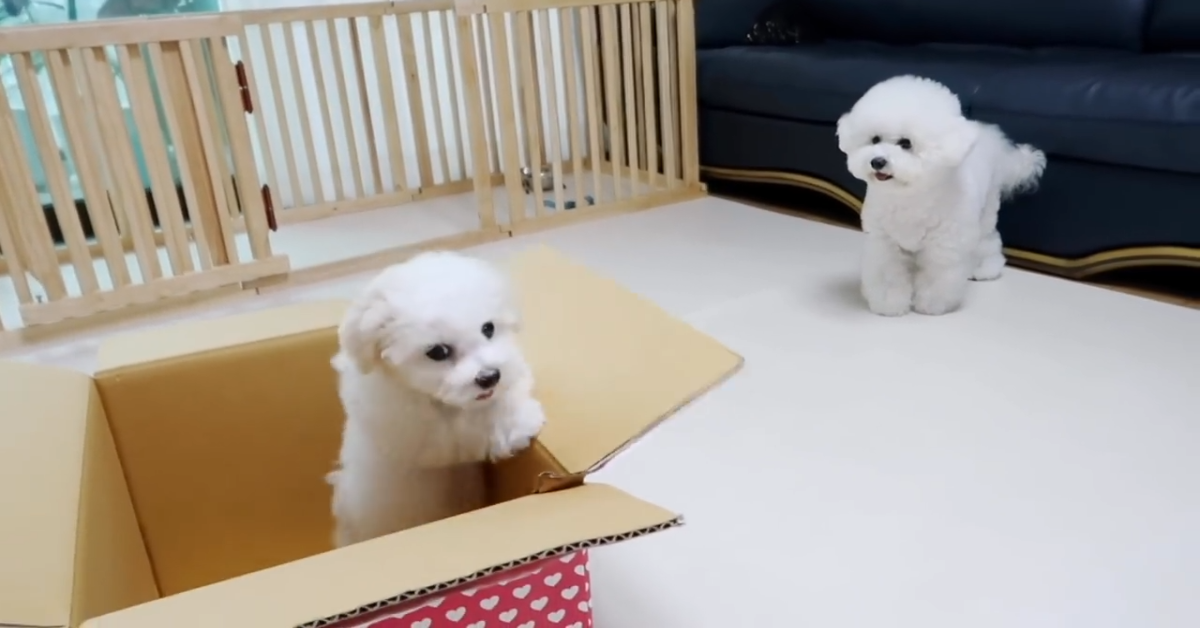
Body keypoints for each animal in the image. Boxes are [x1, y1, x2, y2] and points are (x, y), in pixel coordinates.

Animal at [328, 253, 544, 547]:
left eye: (488, 328)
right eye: (438, 352)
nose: (489, 377)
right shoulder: (420, 430)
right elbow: (469, 426)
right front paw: (519, 425)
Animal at [840, 76, 1046, 317]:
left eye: (906, 143)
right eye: (874, 139)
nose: (877, 161)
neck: (910, 195)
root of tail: (996, 144)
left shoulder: (942, 245)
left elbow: (936, 277)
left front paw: (931, 304)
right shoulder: (885, 242)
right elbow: (889, 275)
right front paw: (889, 304)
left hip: (985, 214)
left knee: (988, 241)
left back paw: (984, 268)